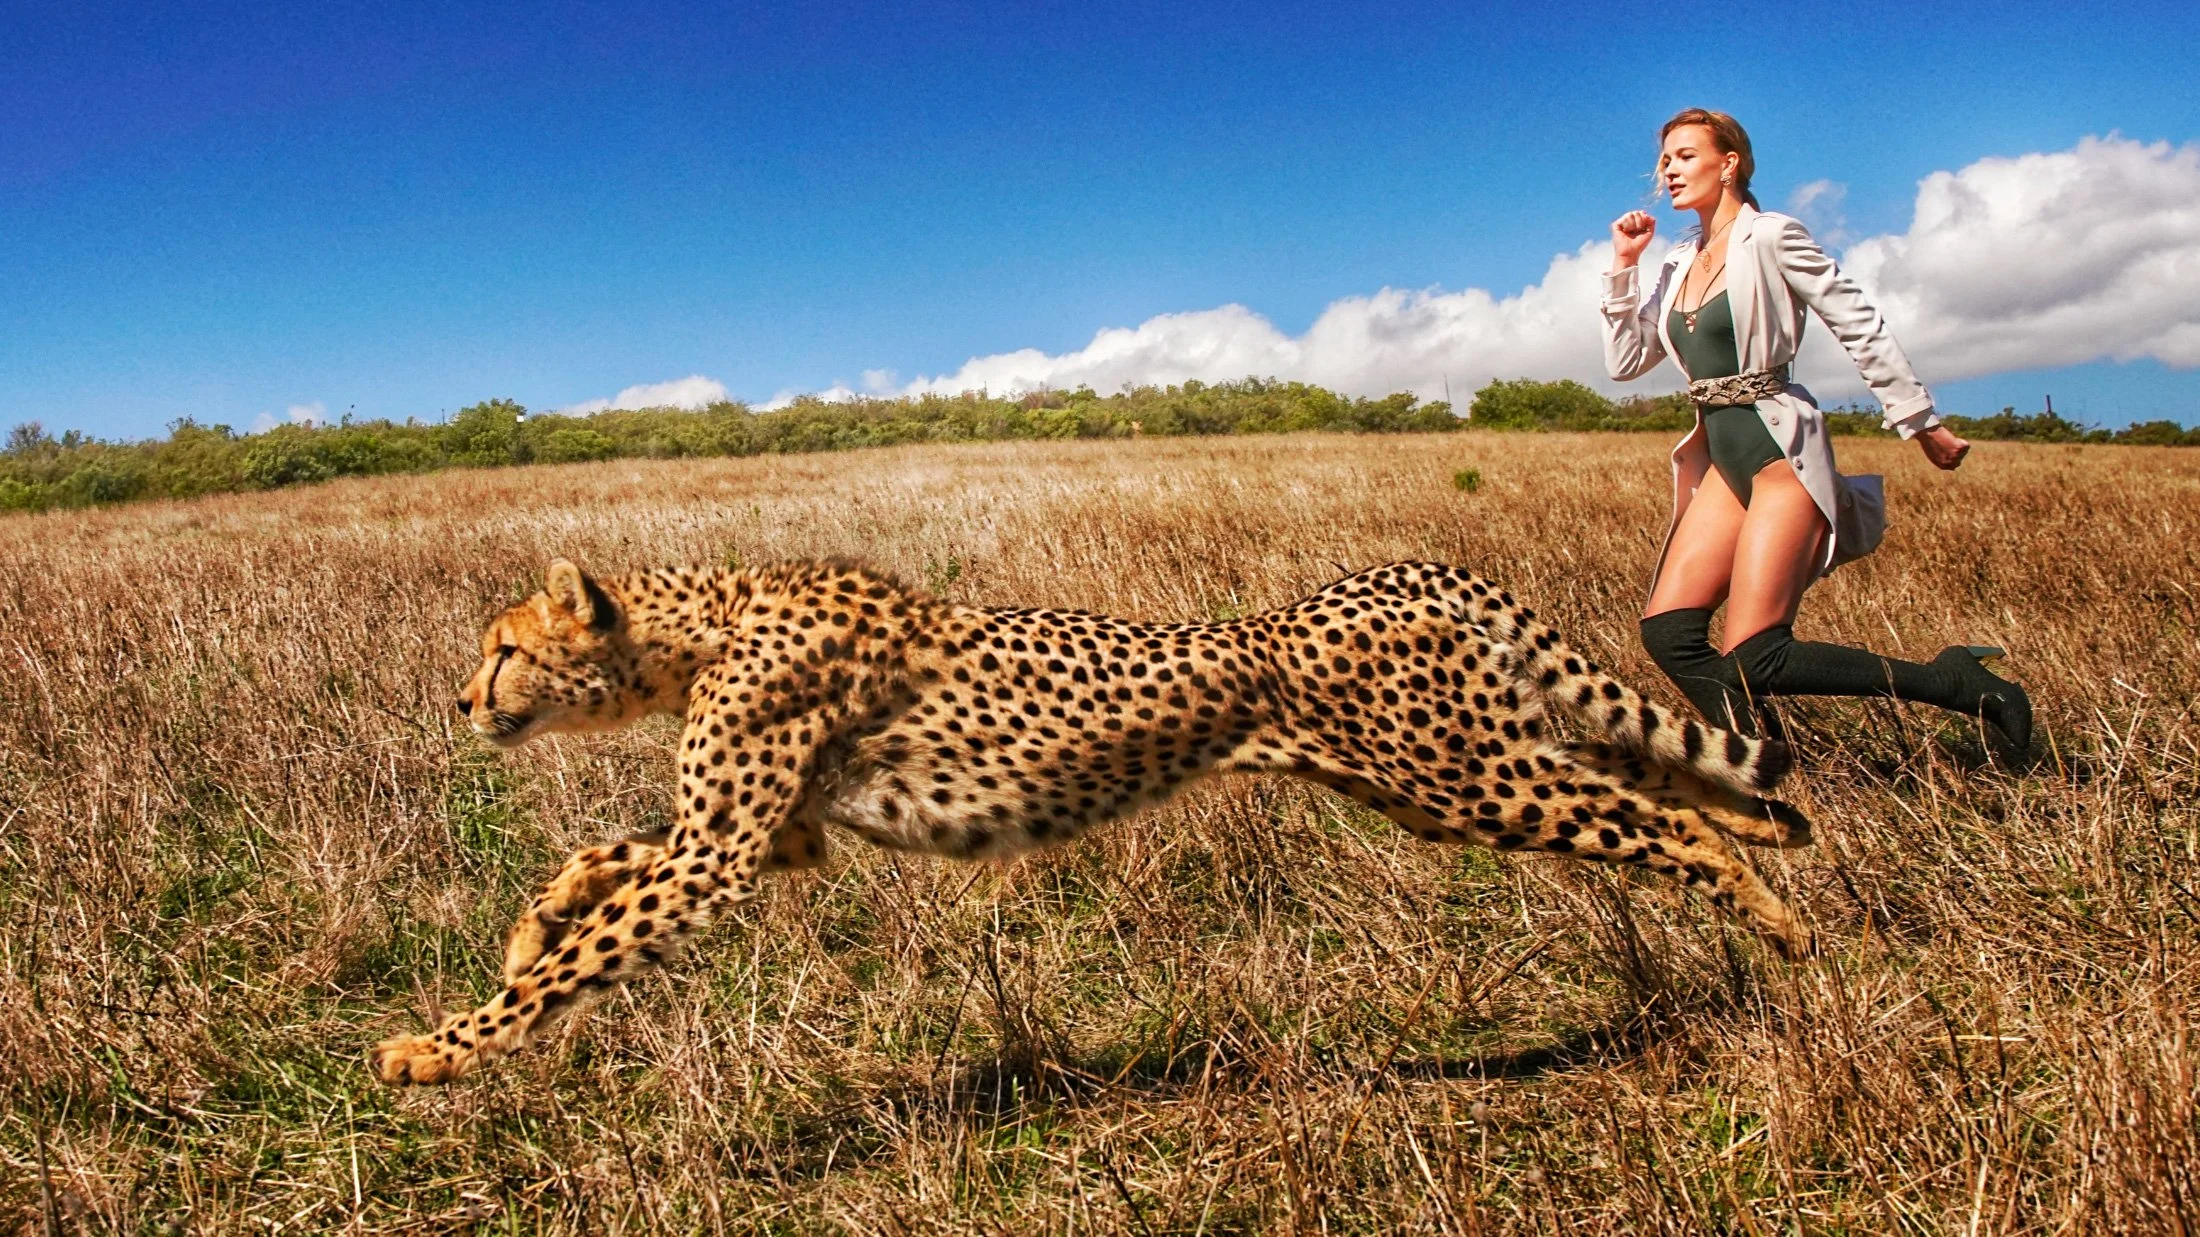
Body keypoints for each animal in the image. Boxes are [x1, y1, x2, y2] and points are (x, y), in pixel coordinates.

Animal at [370, 558, 1814, 1085]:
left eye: (504, 651)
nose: (462, 698)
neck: (692, 629)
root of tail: (1392, 573)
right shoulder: (774, 838)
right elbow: (599, 860)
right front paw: (528, 928)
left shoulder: (729, 852)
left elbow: (584, 950)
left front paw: (436, 1048)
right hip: (1461, 763)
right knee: (1655, 776)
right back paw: (1767, 843)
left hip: (1459, 779)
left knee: (1652, 821)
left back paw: (1779, 920)